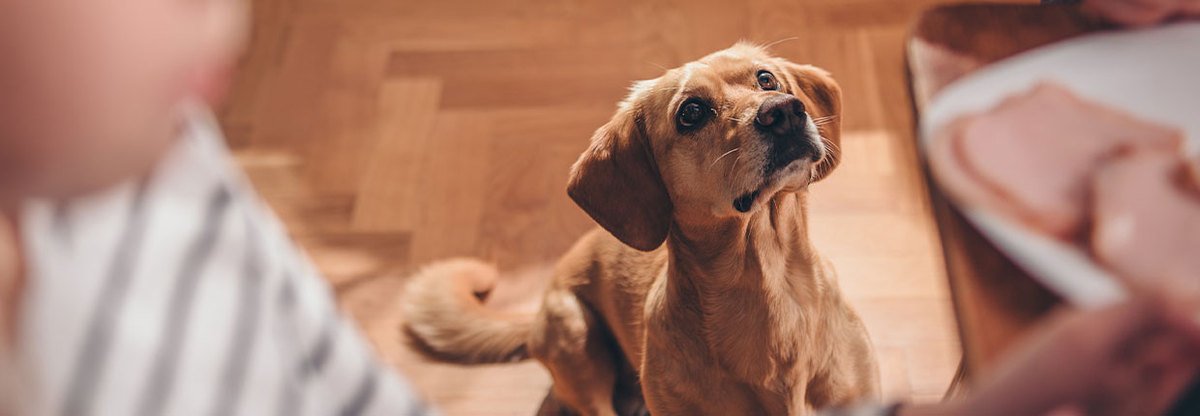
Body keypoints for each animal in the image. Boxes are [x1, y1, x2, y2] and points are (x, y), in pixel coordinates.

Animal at [403, 44, 883, 414]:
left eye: (767, 79)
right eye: (691, 112)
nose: (784, 111)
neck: (772, 287)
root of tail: (534, 313)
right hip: (574, 331)